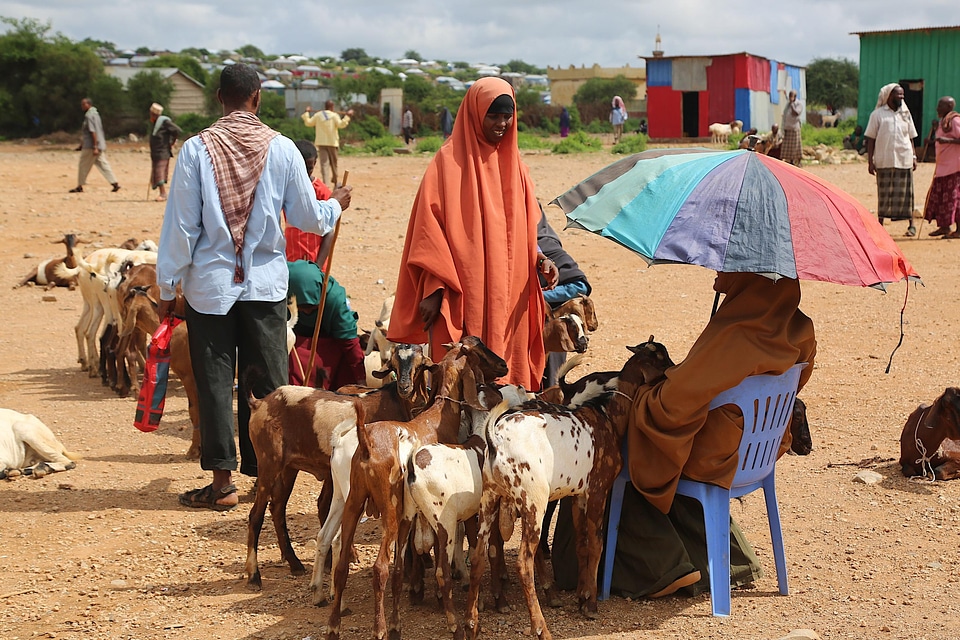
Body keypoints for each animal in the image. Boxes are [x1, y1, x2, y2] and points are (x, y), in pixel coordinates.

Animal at [244, 344, 432, 592]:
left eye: (420, 365)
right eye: (393, 364)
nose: (404, 386)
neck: (396, 404)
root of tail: (259, 403)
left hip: (288, 468)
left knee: (277, 509)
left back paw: (295, 564)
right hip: (268, 462)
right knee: (256, 515)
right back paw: (254, 576)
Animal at [464, 338, 676, 636]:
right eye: (661, 357)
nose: (675, 369)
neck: (607, 416)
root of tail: (496, 438)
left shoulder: (579, 495)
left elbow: (582, 544)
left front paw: (581, 595)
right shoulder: (599, 490)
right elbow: (597, 544)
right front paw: (591, 605)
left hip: (489, 499)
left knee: (480, 556)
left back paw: (471, 624)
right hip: (534, 504)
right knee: (524, 563)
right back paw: (541, 627)